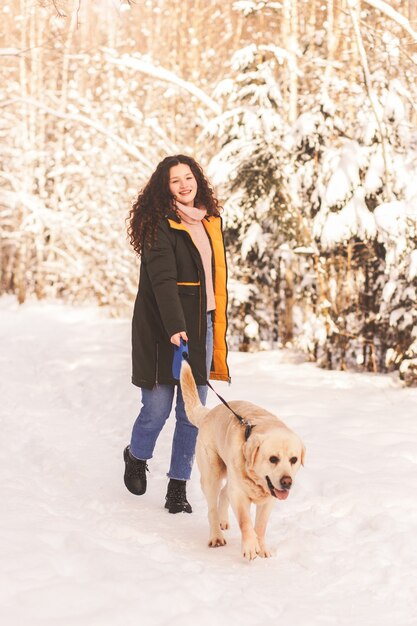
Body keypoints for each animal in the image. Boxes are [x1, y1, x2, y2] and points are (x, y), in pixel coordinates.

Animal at [180, 358, 304, 560]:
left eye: (293, 459)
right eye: (273, 459)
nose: (287, 482)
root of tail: (208, 413)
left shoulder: (269, 501)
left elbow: (260, 526)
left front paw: (262, 547)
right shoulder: (239, 494)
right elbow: (245, 522)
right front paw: (250, 547)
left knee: (224, 493)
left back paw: (223, 521)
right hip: (212, 473)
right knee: (212, 507)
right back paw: (216, 536)